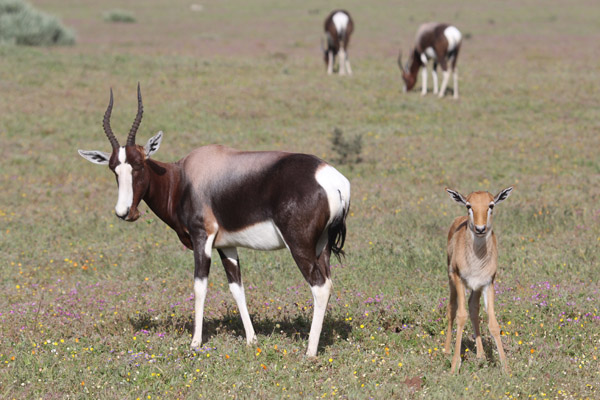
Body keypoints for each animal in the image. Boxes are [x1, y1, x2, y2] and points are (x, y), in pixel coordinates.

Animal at [79, 85, 352, 356]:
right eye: (113, 167)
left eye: (138, 164)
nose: (125, 212)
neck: (183, 177)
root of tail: (333, 179)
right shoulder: (226, 245)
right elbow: (237, 287)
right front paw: (251, 340)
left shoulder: (203, 237)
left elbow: (200, 286)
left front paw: (195, 343)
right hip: (322, 246)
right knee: (327, 282)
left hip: (299, 244)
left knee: (319, 286)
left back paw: (310, 352)